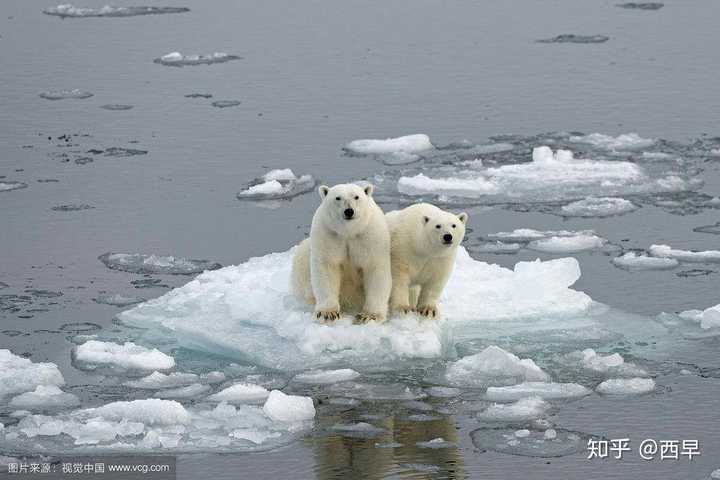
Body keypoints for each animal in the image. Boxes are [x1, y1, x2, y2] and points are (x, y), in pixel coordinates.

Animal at [292, 182, 394, 324]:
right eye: (337, 198)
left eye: (356, 197)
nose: (349, 211)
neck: (348, 232)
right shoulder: (328, 234)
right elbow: (327, 267)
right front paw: (327, 313)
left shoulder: (369, 235)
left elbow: (375, 269)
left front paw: (369, 316)